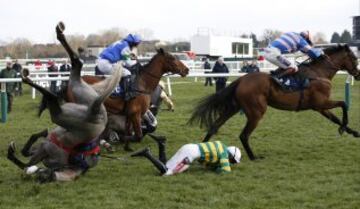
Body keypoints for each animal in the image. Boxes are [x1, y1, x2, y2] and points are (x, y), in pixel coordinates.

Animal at [7, 22, 121, 183]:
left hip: (61, 115)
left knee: (54, 99)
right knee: (77, 64)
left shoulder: (44, 149)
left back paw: (27, 78)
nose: (43, 174)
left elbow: (25, 159)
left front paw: (15, 153)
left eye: (43, 176)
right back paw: (60, 32)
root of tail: (94, 111)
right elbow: (27, 150)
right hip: (80, 92)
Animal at [188, 44, 360, 160]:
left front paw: (352, 132)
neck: (318, 73)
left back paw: (203, 150)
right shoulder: (320, 103)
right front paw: (344, 128)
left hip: (234, 107)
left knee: (215, 125)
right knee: (244, 135)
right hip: (256, 112)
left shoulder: (319, 107)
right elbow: (343, 104)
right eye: (354, 58)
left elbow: (335, 118)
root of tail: (241, 80)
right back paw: (253, 157)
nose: (358, 74)